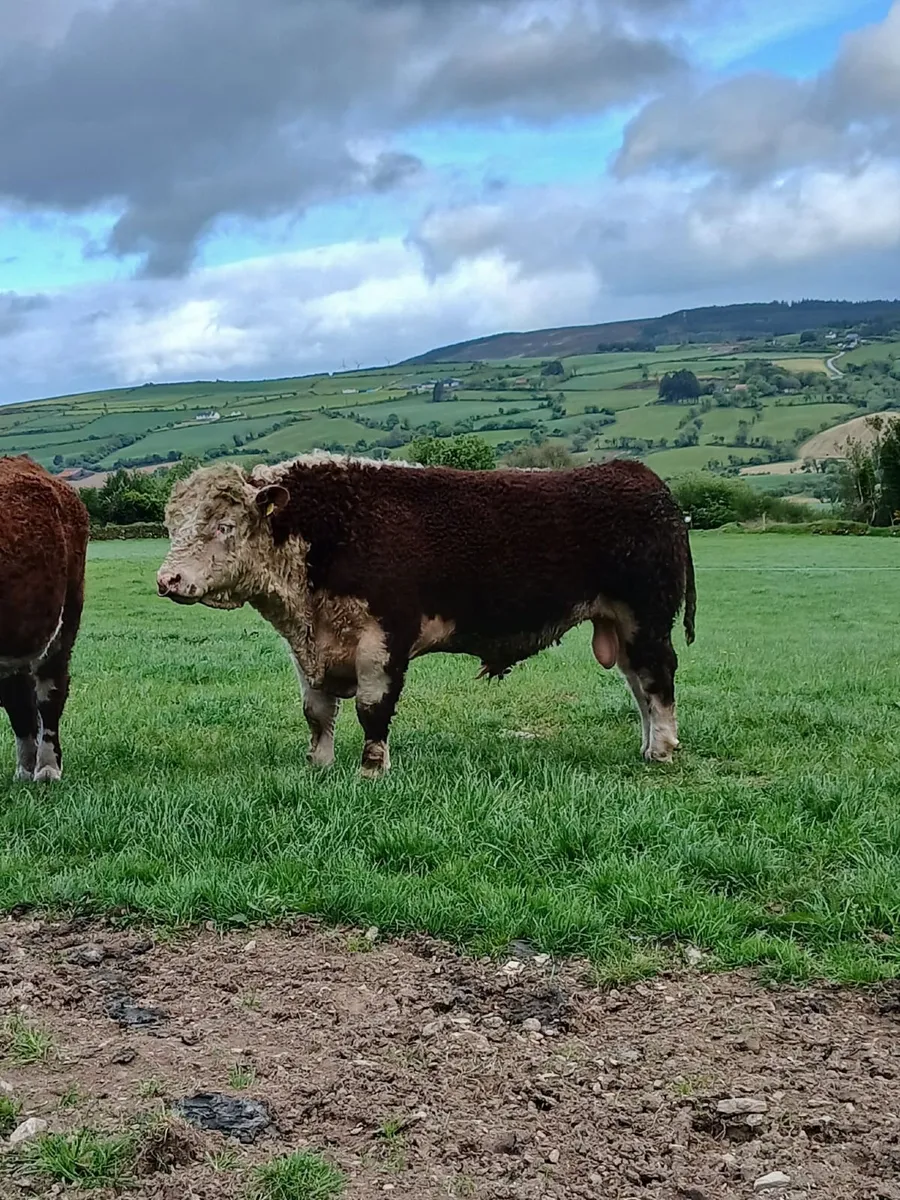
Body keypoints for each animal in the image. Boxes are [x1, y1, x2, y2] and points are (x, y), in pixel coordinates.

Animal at [157, 452, 696, 777]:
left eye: (225, 525)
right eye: (171, 525)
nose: (168, 580)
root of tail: (637, 474)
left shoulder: (384, 637)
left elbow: (372, 708)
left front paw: (371, 769)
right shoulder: (308, 647)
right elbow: (317, 711)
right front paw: (319, 765)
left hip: (647, 616)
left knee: (657, 678)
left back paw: (663, 749)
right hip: (622, 624)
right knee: (637, 682)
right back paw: (647, 747)